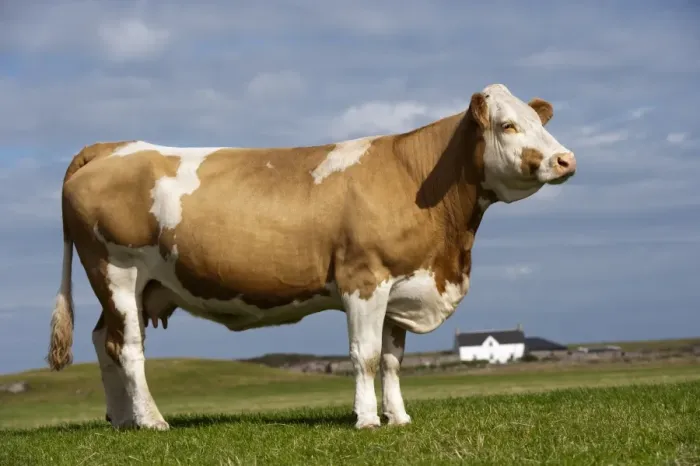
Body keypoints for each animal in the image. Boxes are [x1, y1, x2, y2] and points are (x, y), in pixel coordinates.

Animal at [47, 83, 577, 431]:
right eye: (508, 125)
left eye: (540, 123)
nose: (566, 159)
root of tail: (111, 147)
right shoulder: (364, 278)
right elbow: (364, 355)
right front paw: (367, 421)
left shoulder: (401, 285)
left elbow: (391, 360)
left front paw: (399, 417)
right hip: (117, 270)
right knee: (129, 348)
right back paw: (153, 421)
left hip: (136, 286)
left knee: (103, 341)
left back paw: (122, 420)